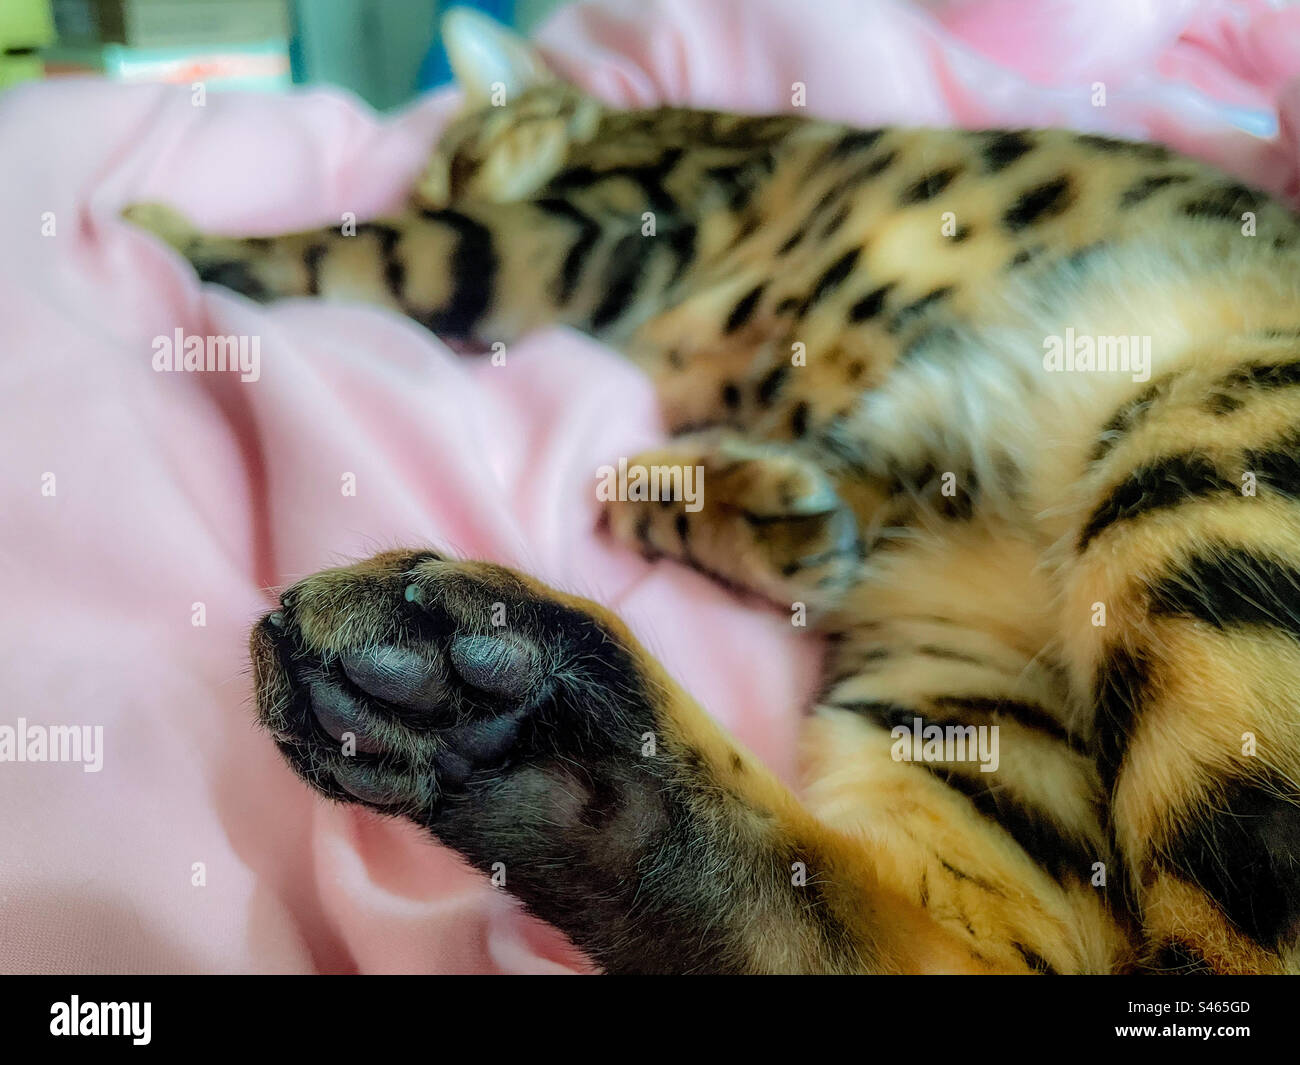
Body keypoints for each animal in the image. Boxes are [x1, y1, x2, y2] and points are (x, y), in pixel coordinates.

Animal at [126, 8, 1300, 972]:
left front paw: (165, 234)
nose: (449, 178)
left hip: (1198, 453)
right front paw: (742, 507)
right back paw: (537, 738)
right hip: (962, 672)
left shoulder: (610, 224)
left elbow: (373, 255)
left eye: (458, 156)